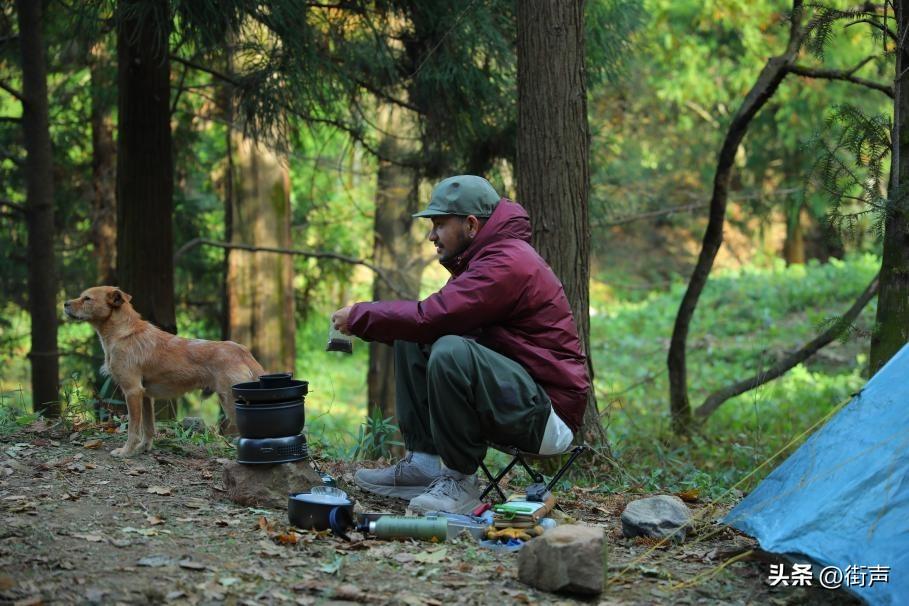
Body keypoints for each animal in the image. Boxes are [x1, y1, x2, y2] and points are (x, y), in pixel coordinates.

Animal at [61, 288, 262, 458]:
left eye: (87, 298)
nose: (64, 303)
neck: (124, 333)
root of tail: (243, 351)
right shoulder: (145, 396)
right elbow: (148, 428)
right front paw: (143, 448)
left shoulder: (132, 391)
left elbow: (133, 428)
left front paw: (126, 452)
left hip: (231, 403)